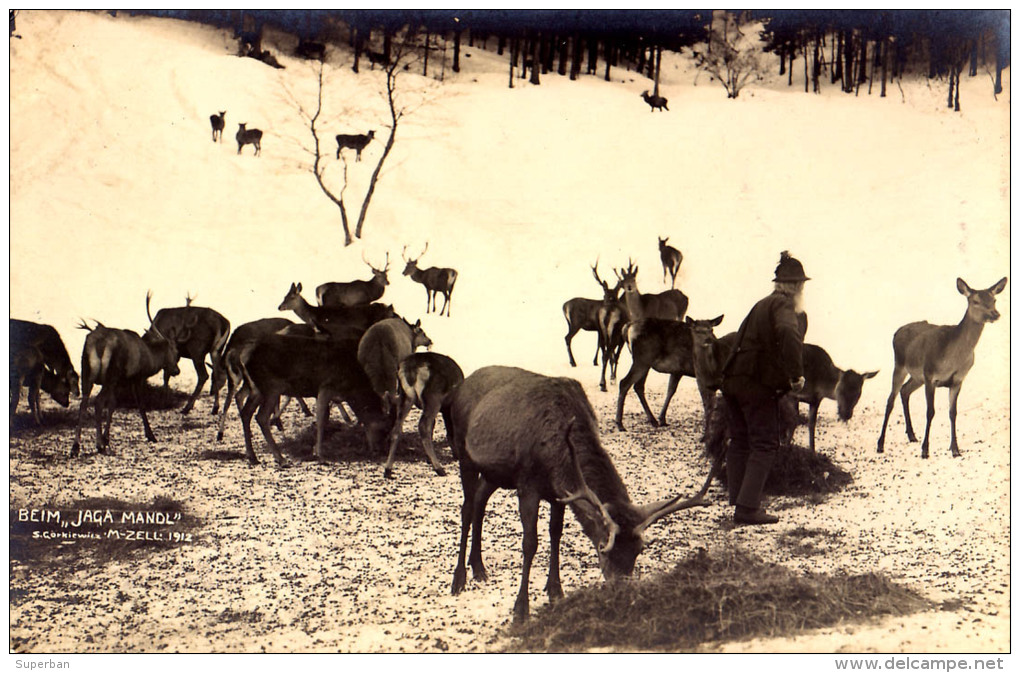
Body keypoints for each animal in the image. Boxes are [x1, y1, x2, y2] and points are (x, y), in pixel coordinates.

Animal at [71, 293, 181, 456]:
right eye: (175, 351)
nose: (176, 370)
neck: (150, 358)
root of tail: (99, 344)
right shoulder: (136, 377)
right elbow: (140, 404)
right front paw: (150, 435)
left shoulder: (119, 383)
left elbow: (112, 404)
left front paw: (106, 439)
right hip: (110, 376)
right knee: (98, 401)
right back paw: (99, 445)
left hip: (86, 373)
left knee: (84, 402)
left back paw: (76, 447)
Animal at [236, 334, 387, 464]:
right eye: (383, 429)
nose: (379, 451)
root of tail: (243, 356)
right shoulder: (326, 386)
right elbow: (321, 420)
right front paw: (319, 454)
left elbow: (326, 418)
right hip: (272, 386)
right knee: (261, 417)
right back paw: (280, 458)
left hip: (256, 389)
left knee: (246, 413)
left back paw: (252, 456)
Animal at [444, 365, 718, 624]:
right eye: (603, 550)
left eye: (637, 551)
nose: (622, 594)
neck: (556, 453)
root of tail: (461, 385)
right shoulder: (528, 484)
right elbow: (530, 543)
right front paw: (521, 610)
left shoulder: (559, 492)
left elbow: (556, 534)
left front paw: (556, 591)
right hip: (464, 453)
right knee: (466, 508)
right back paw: (459, 579)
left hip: (495, 472)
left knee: (480, 499)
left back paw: (478, 567)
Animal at [873, 275, 1007, 460]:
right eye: (975, 301)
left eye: (994, 300)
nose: (995, 314)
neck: (953, 358)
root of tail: (896, 332)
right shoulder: (930, 376)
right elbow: (930, 412)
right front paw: (925, 450)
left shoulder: (957, 380)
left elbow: (953, 413)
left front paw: (955, 449)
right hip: (899, 364)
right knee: (890, 400)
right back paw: (880, 444)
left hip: (917, 376)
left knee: (905, 391)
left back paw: (912, 435)